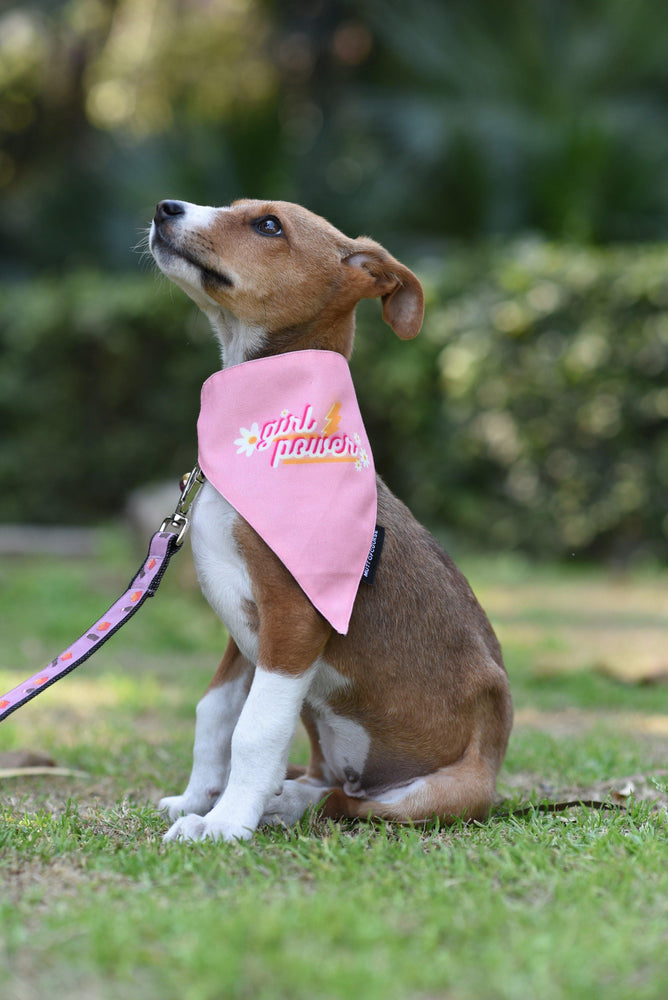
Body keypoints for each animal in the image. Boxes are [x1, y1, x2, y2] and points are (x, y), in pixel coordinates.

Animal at [149, 199, 512, 840]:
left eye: (268, 225)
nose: (166, 208)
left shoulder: (293, 617)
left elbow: (255, 730)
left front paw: (225, 823)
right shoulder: (246, 629)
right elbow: (214, 712)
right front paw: (197, 801)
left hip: (428, 797)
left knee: (344, 804)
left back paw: (279, 804)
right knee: (323, 785)